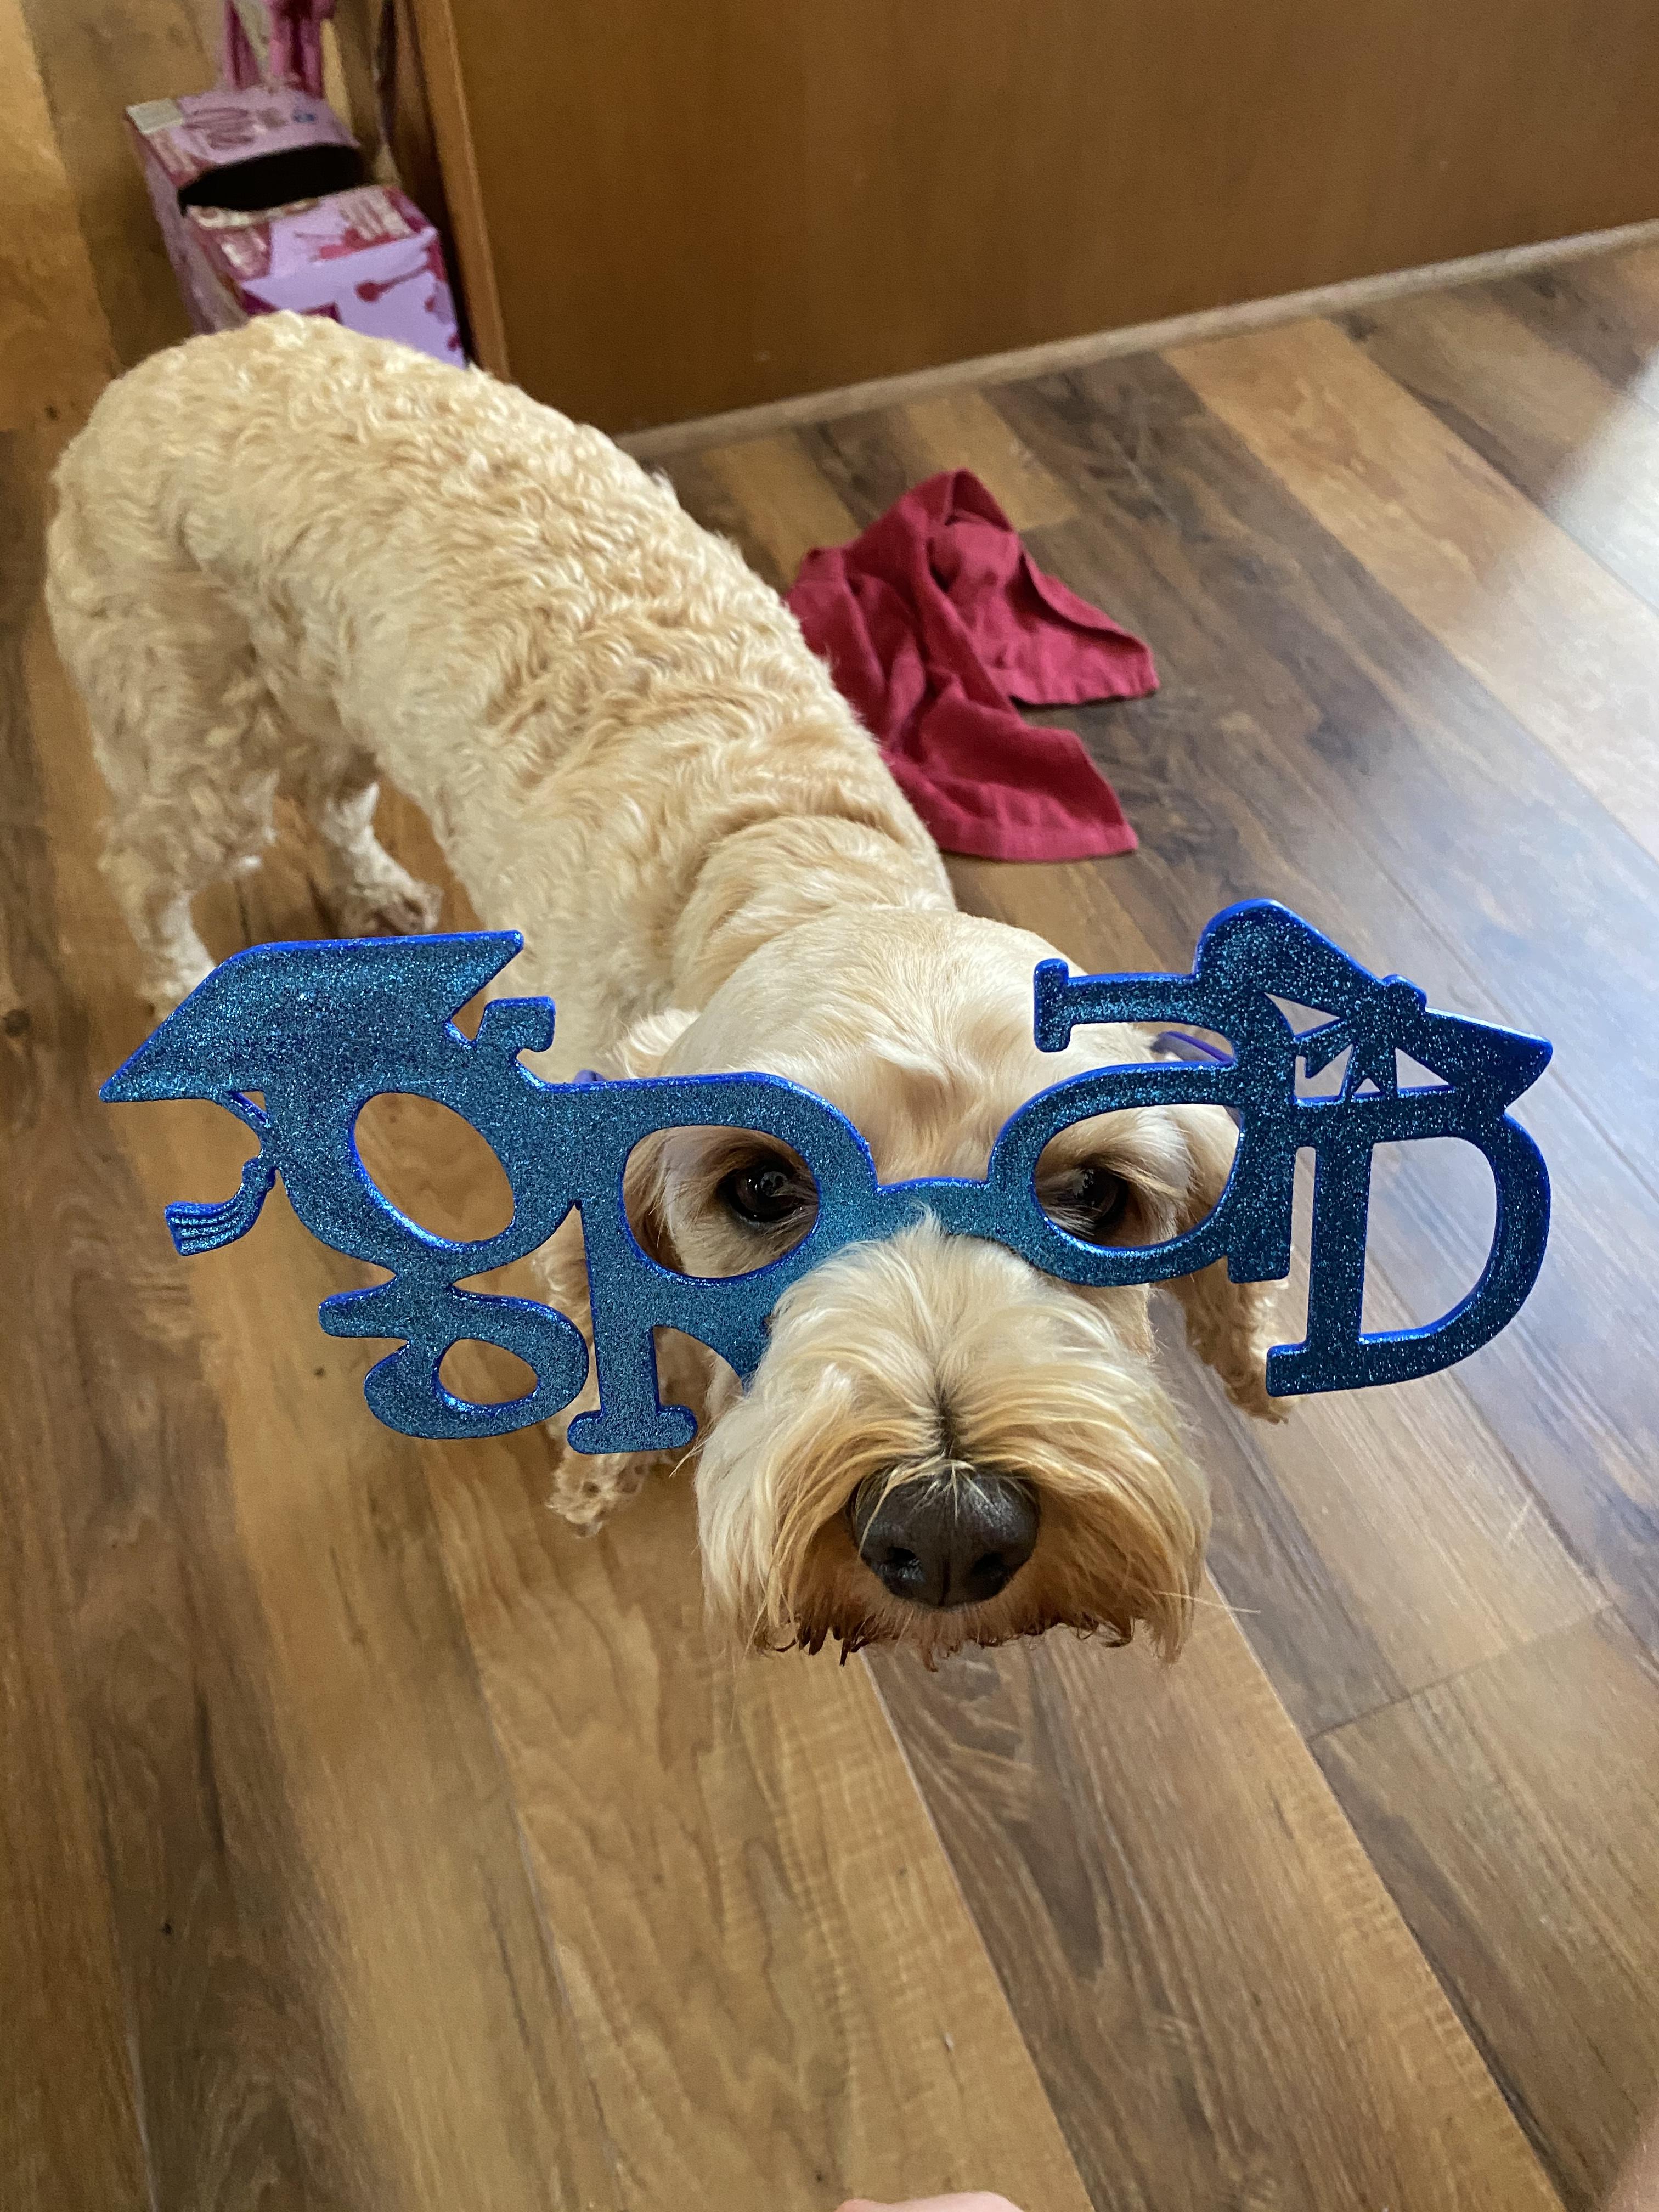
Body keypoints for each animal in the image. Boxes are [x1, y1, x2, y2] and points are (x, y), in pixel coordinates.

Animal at [46, 312, 1280, 1663]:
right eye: (761, 1188)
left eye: (1097, 1196)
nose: (952, 1529)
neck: (788, 866)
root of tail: (179, 356)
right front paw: (603, 1460)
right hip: (192, 726)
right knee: (141, 863)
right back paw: (177, 978)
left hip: (328, 698)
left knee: (328, 799)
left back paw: (372, 886)